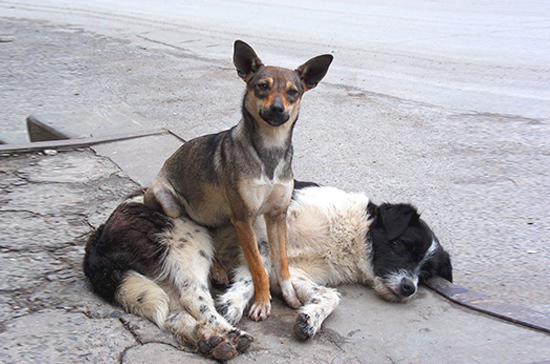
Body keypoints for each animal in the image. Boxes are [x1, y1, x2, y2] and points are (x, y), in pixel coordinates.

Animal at [83, 181, 452, 358]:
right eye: (404, 247)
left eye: (425, 274)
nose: (409, 289)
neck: (348, 234)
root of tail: (100, 231)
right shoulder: (261, 224)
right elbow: (254, 272)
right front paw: (236, 303)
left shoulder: (294, 273)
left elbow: (329, 296)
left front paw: (310, 319)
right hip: (188, 235)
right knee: (192, 297)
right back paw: (226, 331)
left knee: (175, 313)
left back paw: (212, 340)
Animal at [146, 39, 332, 318]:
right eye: (263, 86)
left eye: (293, 92)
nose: (277, 109)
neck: (269, 151)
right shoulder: (243, 218)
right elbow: (257, 266)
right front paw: (262, 301)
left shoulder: (277, 216)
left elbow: (282, 263)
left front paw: (289, 295)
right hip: (169, 202)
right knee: (200, 232)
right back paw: (216, 269)